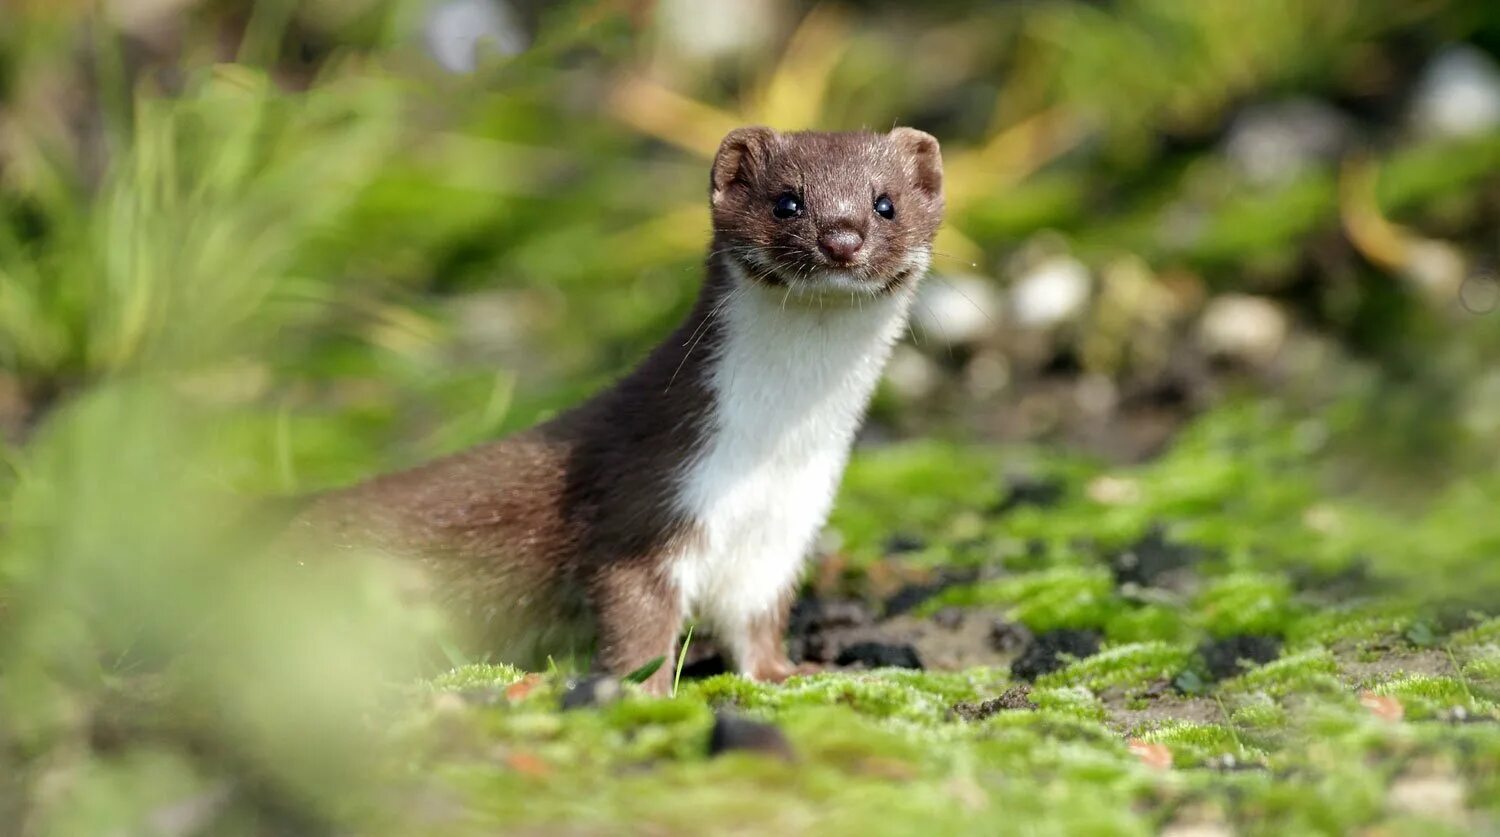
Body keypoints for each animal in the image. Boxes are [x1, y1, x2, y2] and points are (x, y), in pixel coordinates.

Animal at [292, 126, 942, 696]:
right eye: (787, 201)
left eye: (885, 203)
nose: (842, 238)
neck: (769, 456)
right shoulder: (646, 498)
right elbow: (635, 617)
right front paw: (646, 690)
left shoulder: (781, 534)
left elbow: (756, 622)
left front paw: (792, 673)